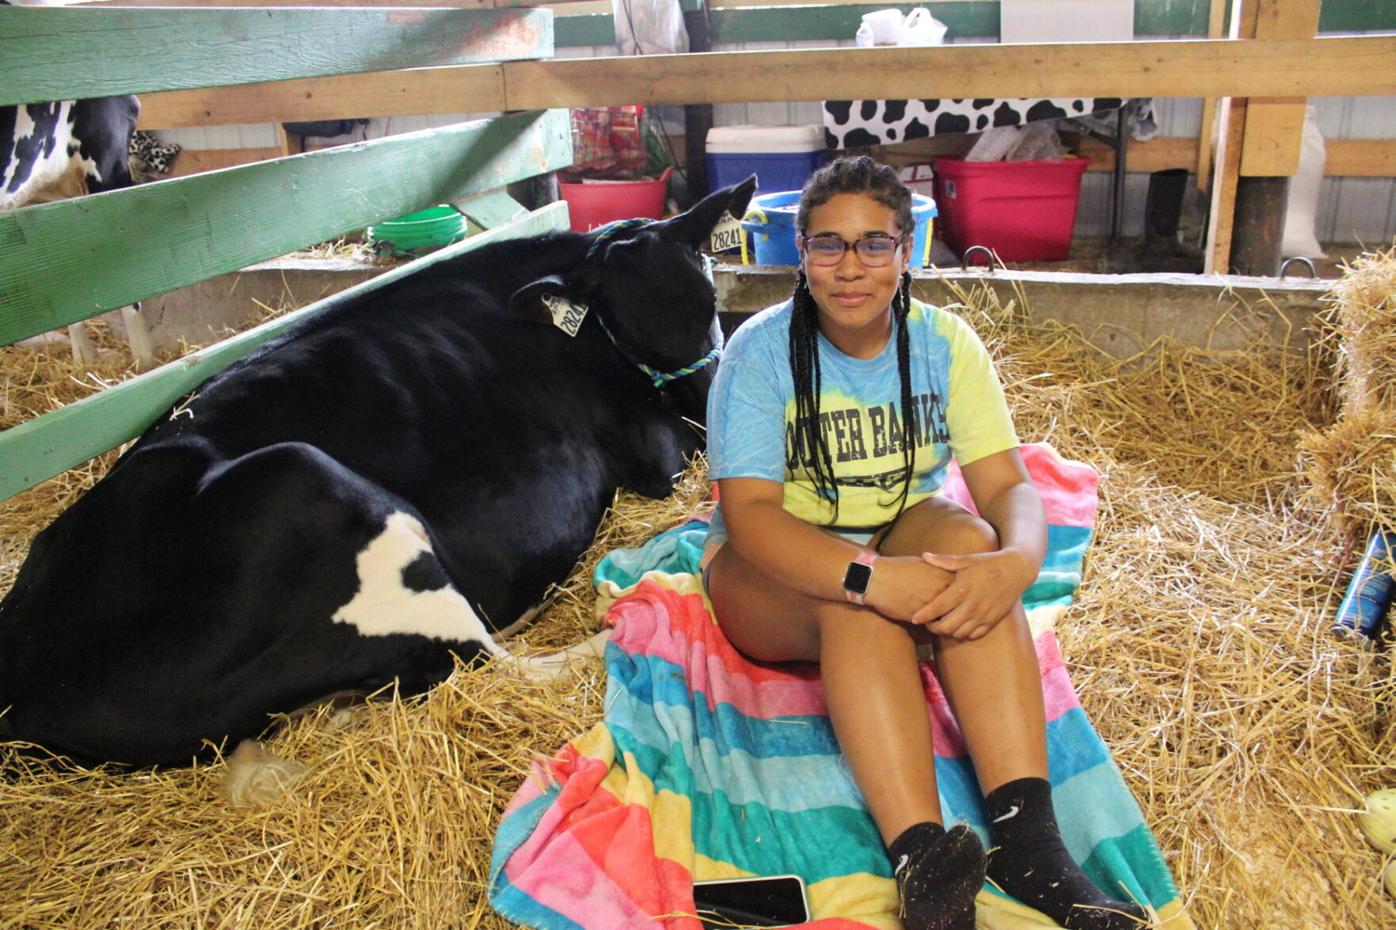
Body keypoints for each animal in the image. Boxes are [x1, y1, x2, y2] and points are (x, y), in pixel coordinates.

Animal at [0, 177, 759, 765]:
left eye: (710, 300)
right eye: (626, 326)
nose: (719, 409)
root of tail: (21, 681)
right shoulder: (651, 452)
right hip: (311, 485)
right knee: (492, 661)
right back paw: (623, 615)